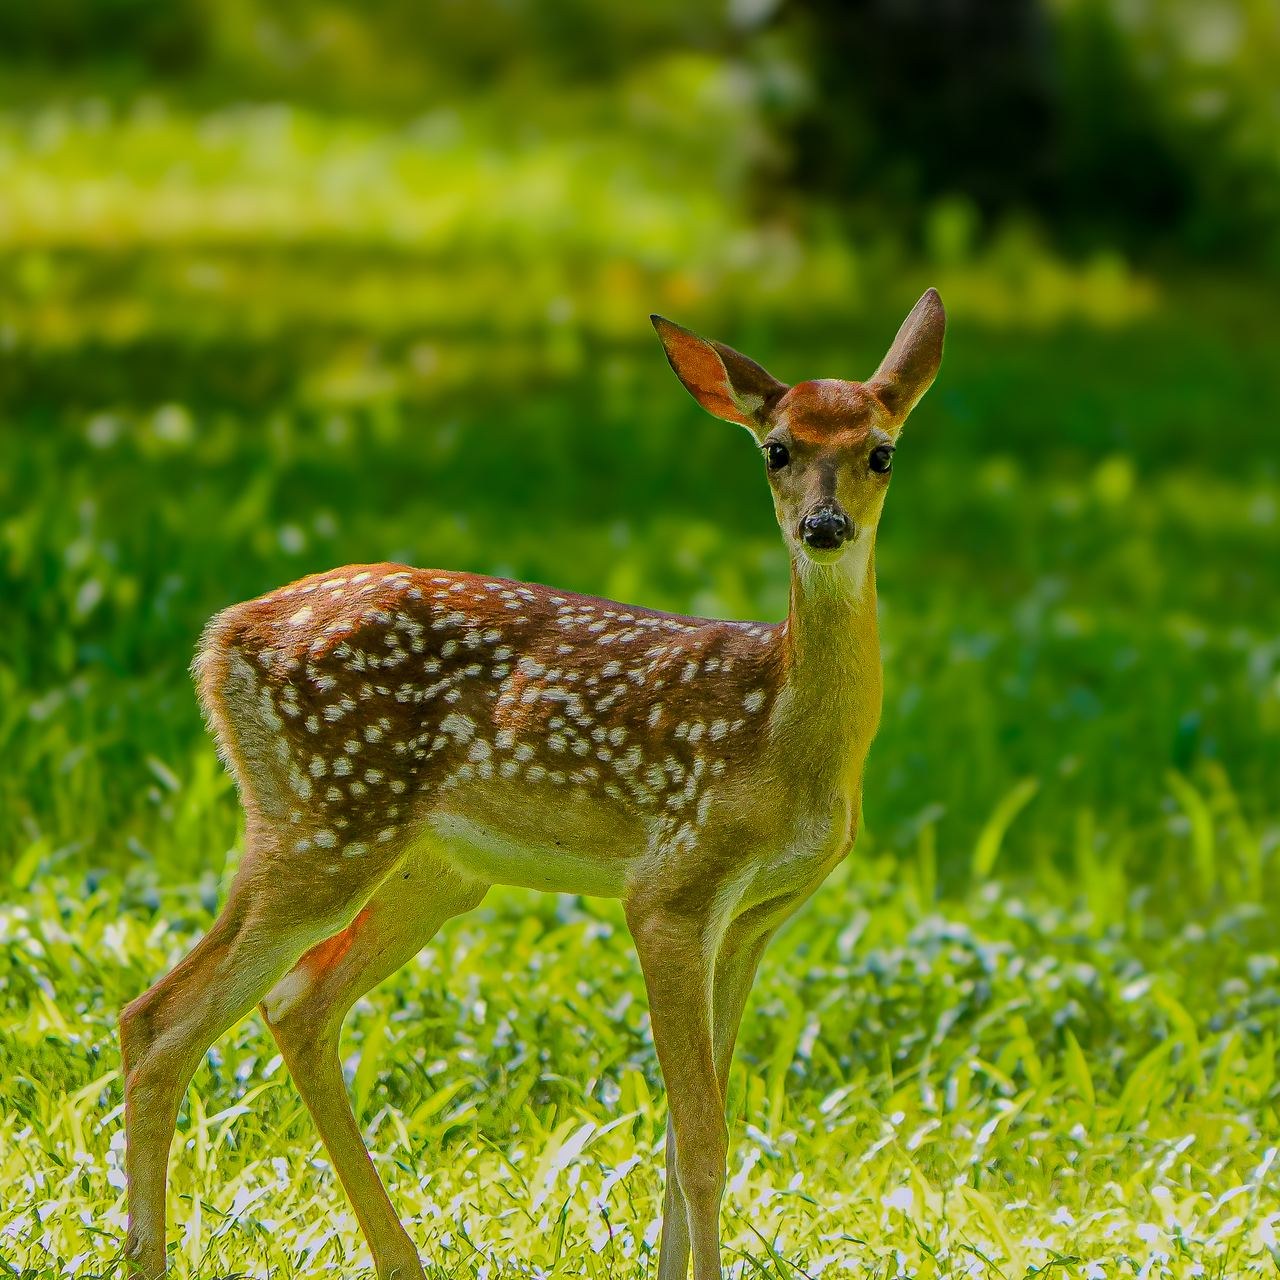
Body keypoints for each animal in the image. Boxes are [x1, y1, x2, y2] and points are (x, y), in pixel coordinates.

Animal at [120, 289, 946, 1280]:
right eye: (776, 449)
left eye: (881, 452)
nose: (824, 529)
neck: (783, 735)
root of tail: (219, 640)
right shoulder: (673, 885)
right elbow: (702, 1139)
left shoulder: (756, 917)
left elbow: (686, 1131)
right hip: (327, 816)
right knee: (159, 1019)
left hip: (429, 871)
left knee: (294, 1003)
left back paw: (401, 1259)